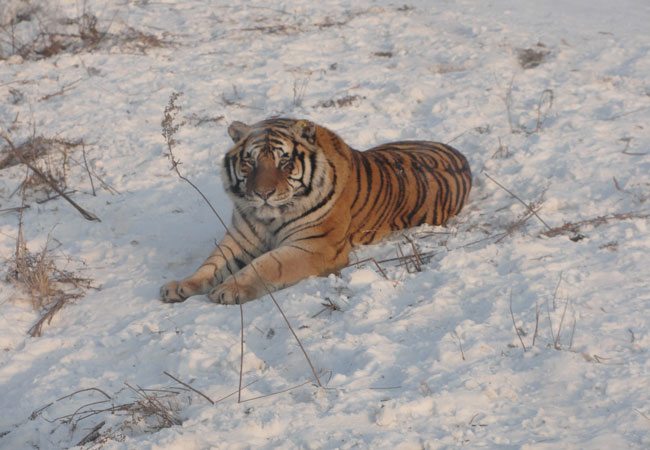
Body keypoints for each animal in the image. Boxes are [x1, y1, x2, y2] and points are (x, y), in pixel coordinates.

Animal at [159, 118, 468, 304]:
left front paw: (228, 289)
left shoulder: (314, 246)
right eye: (250, 163)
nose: (262, 194)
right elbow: (211, 263)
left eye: (284, 163)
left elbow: (267, 264)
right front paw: (179, 285)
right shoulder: (239, 238)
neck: (268, 217)